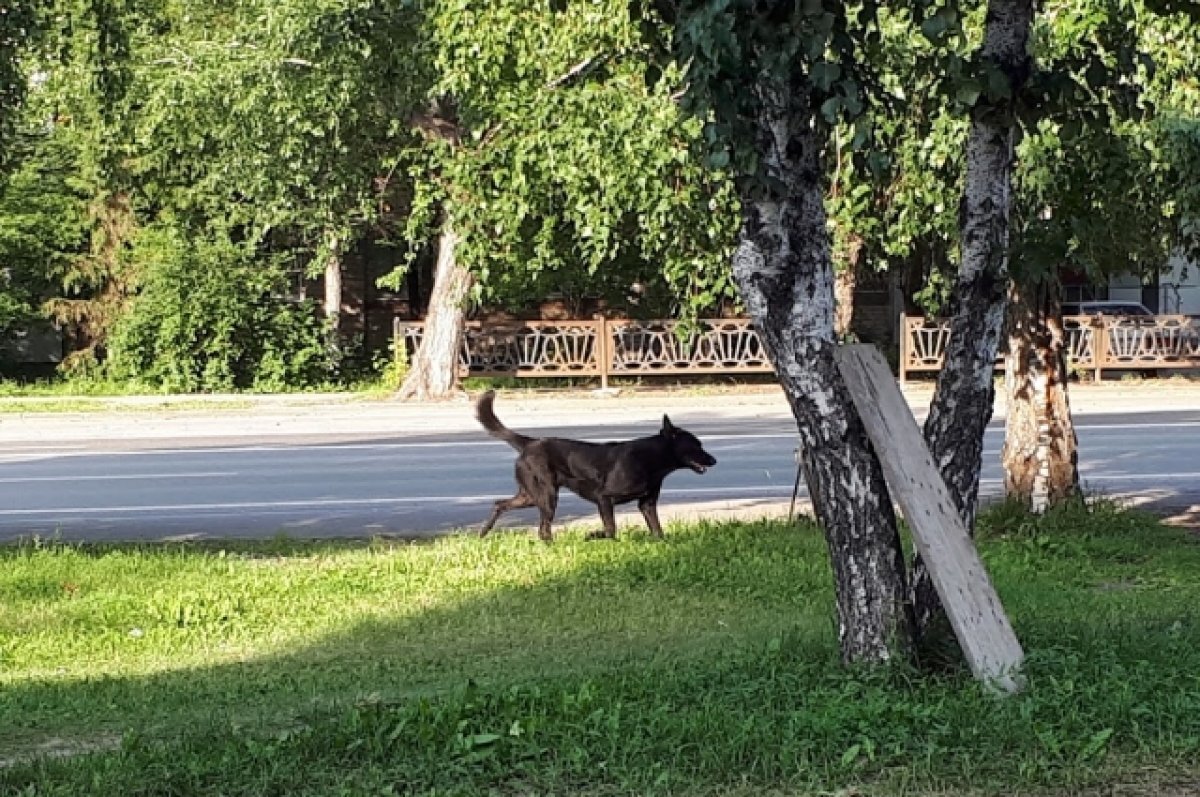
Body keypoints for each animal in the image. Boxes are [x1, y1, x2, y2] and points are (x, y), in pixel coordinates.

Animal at [475, 386, 715, 537]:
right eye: (696, 445)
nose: (714, 460)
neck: (650, 458)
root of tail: (530, 442)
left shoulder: (647, 504)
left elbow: (657, 530)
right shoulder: (604, 498)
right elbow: (610, 529)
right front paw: (594, 535)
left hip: (530, 495)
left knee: (500, 504)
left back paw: (483, 533)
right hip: (546, 495)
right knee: (543, 530)